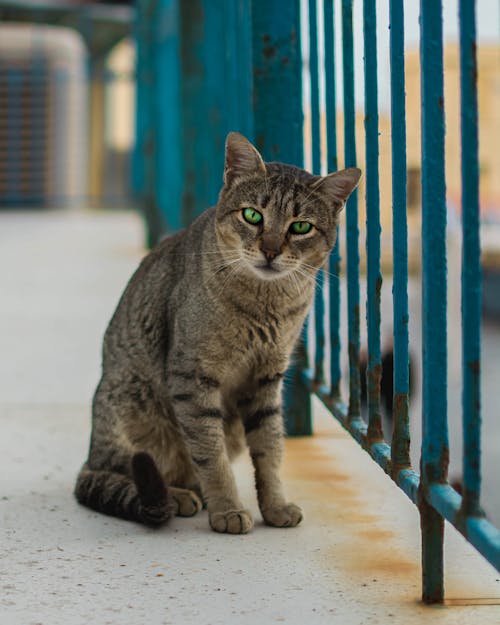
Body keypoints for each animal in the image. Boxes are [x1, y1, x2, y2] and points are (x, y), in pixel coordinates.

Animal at [74, 130, 360, 532]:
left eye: (301, 226)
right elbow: (211, 455)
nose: (270, 250)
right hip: (131, 404)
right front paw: (227, 509)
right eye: (253, 215)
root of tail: (90, 453)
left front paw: (275, 505)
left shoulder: (267, 379)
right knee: (125, 469)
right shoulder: (193, 377)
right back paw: (178, 496)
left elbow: (270, 449)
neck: (265, 305)